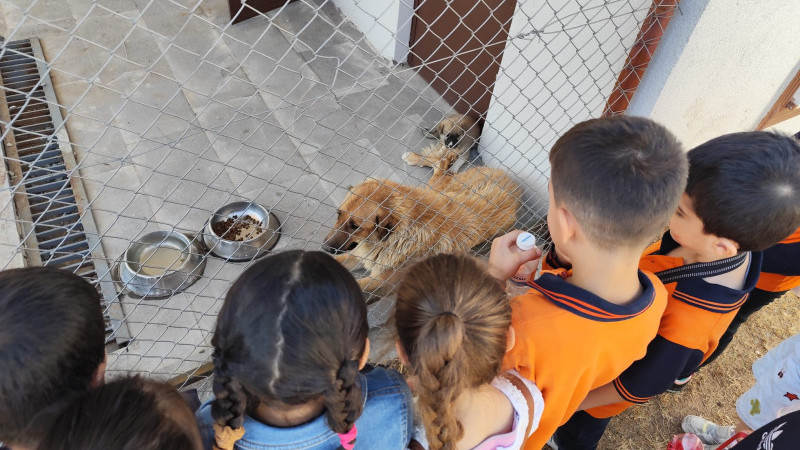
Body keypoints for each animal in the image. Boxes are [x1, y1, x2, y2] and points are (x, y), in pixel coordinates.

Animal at [324, 153, 520, 298]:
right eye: (338, 214)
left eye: (354, 226)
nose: (325, 246)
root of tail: (512, 183)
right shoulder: (358, 253)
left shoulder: (382, 283)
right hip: (436, 190)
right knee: (441, 164)